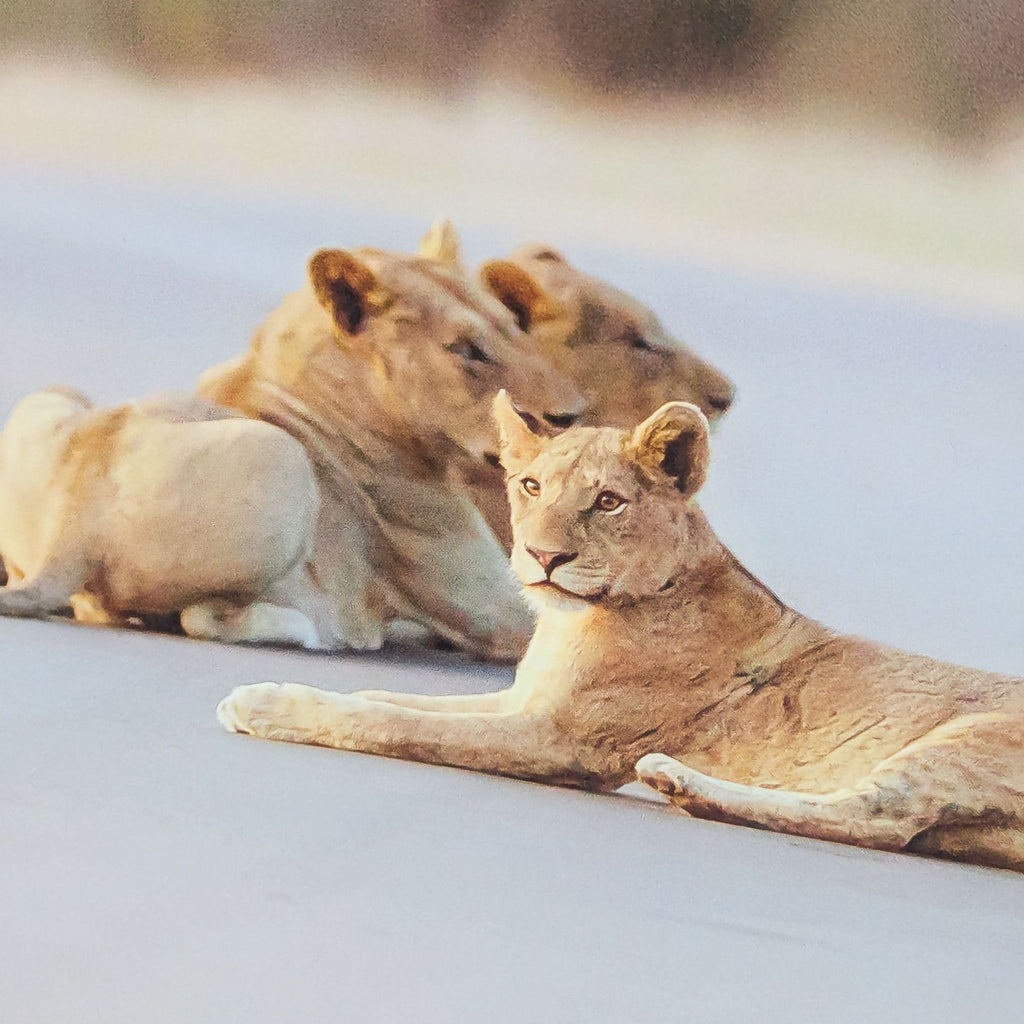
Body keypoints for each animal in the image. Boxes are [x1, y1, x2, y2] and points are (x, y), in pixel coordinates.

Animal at [218, 391, 1024, 872]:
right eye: (530, 486)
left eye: (607, 502)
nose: (543, 557)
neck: (577, 621)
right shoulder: (523, 704)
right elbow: (388, 699)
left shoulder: (560, 740)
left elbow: (392, 724)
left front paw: (263, 703)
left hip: (964, 741)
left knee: (880, 819)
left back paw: (678, 780)